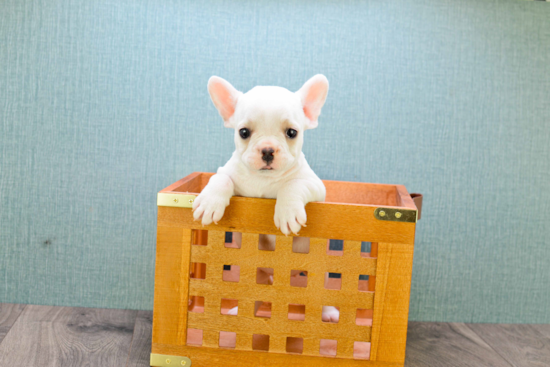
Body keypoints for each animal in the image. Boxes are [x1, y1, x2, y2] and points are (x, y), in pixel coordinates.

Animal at [193, 75, 340, 322]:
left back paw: (328, 313)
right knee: (255, 299)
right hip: (255, 276)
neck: (264, 179)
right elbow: (220, 179)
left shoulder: (315, 185)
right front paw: (209, 202)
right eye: (243, 132)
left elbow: (293, 184)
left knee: (324, 294)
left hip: (322, 274)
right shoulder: (227, 171)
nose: (268, 150)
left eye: (292, 133)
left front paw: (287, 212)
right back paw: (237, 314)